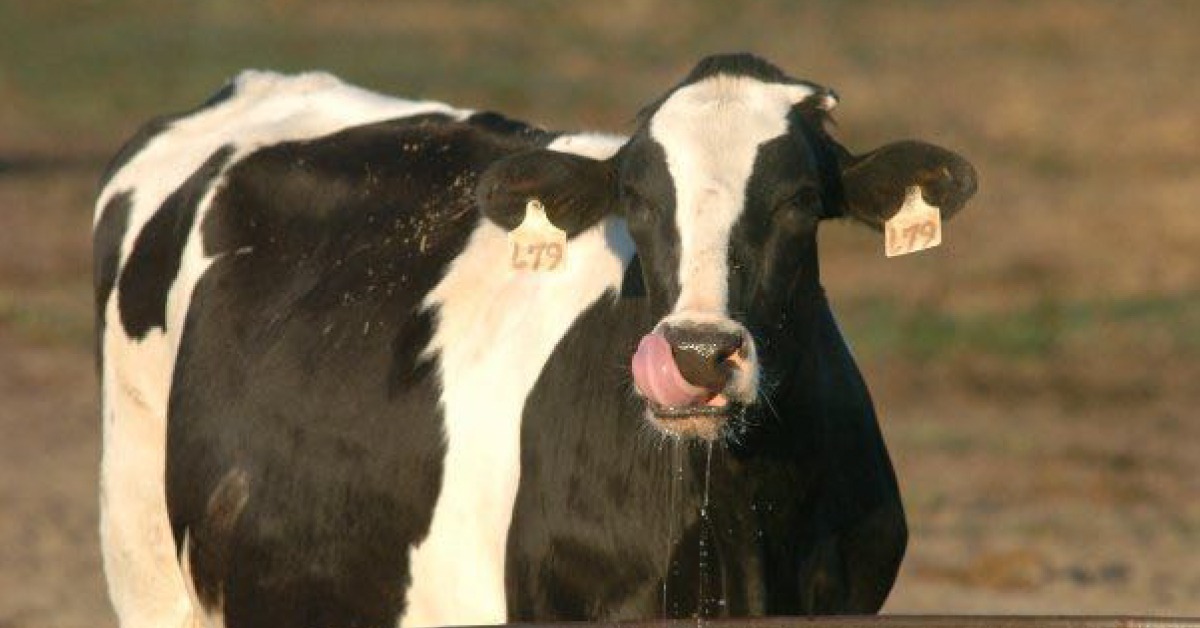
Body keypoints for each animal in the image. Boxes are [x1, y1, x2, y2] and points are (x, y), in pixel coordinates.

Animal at [93, 55, 974, 628]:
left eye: (798, 200)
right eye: (637, 197)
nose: (695, 355)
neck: (736, 520)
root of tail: (261, 84)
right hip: (143, 553)